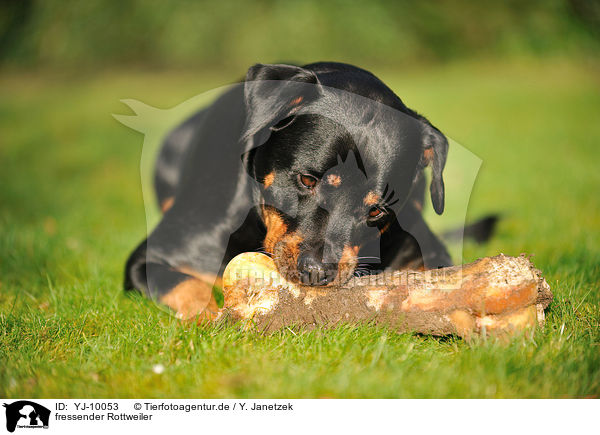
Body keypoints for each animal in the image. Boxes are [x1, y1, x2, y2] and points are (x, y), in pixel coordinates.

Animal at [124, 62, 458, 320]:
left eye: (376, 210)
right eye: (307, 180)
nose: (317, 271)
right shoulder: (151, 257)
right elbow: (188, 286)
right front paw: (209, 318)